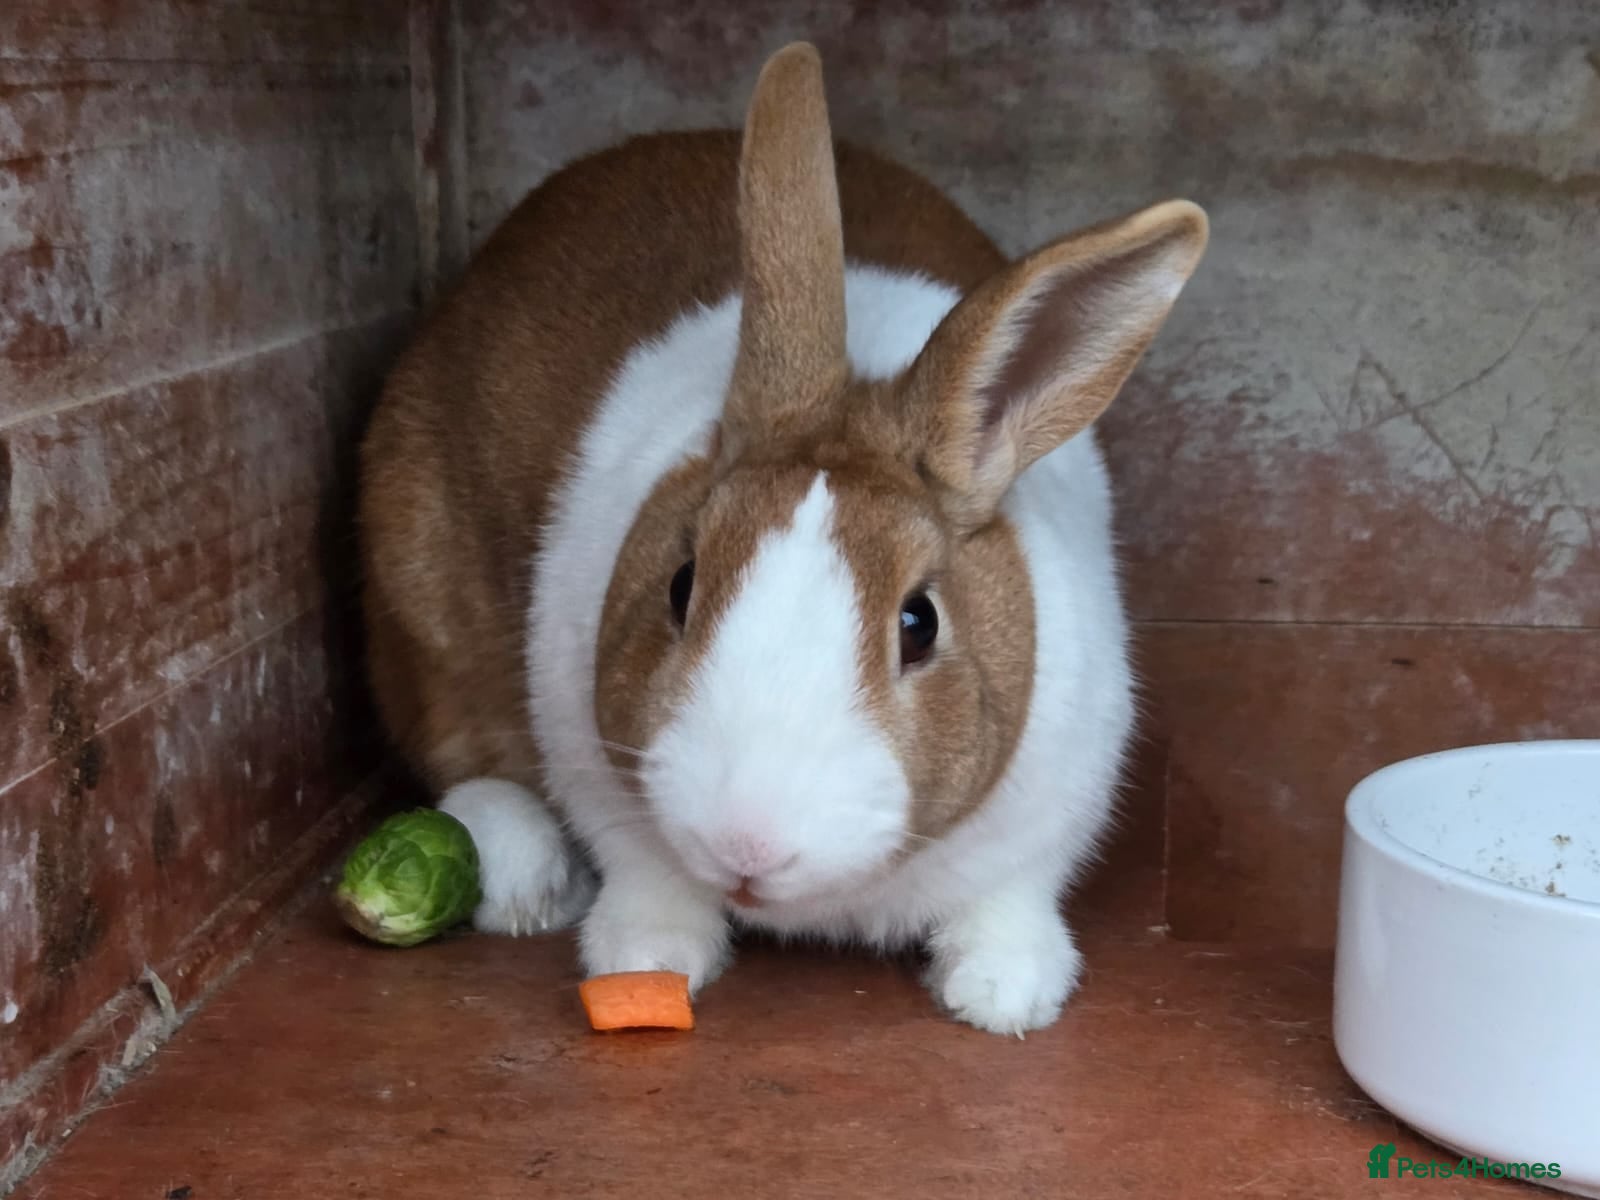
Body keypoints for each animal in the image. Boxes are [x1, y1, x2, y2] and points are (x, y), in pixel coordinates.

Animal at [358, 42, 1206, 1034]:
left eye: (919, 624)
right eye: (681, 585)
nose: (747, 844)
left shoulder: (1048, 817)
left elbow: (1010, 903)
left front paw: (1005, 998)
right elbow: (647, 881)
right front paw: (649, 958)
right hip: (418, 586)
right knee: (464, 750)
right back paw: (525, 882)